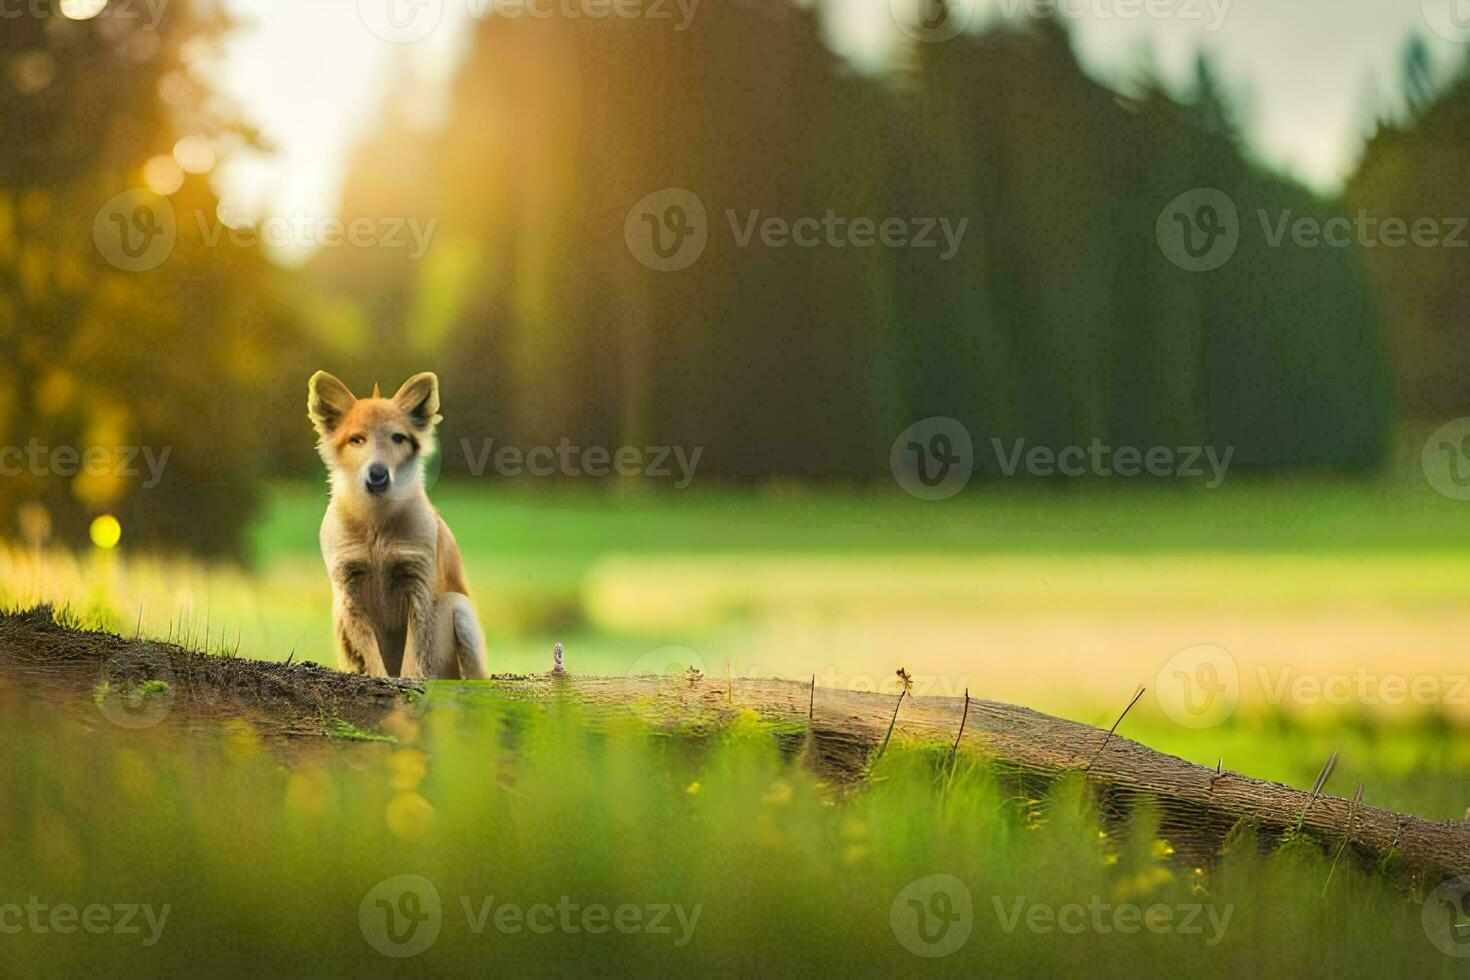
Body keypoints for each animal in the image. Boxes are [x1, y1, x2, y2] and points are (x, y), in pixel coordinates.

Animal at [307, 371, 490, 678]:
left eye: (398, 438)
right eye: (357, 439)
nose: (378, 474)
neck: (376, 525)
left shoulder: (416, 584)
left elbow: (413, 652)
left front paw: (409, 680)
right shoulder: (350, 593)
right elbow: (372, 653)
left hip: (461, 608)